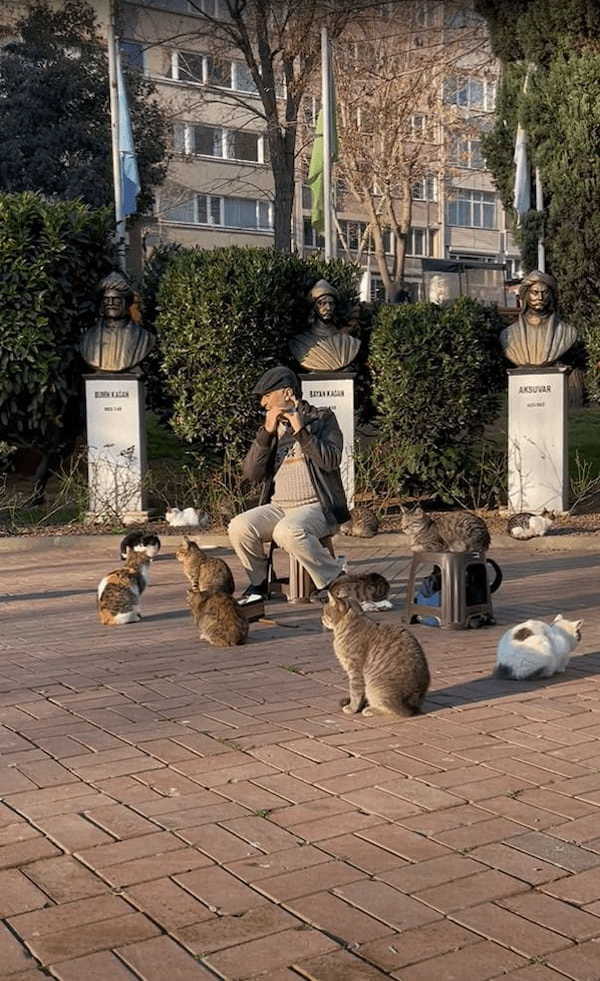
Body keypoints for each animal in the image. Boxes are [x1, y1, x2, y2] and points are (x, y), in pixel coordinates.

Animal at [322, 588, 428, 720]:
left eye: (325, 611)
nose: (321, 618)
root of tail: (412, 706)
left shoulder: (355, 672)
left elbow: (355, 693)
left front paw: (352, 708)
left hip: (374, 688)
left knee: (392, 711)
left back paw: (370, 709)